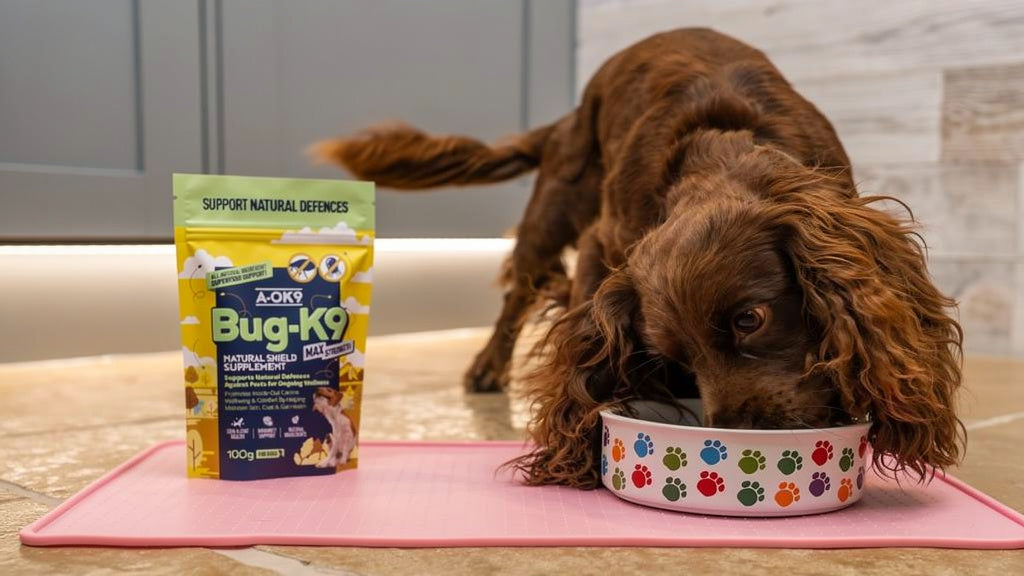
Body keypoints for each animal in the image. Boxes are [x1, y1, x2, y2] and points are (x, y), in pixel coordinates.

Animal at [312, 28, 965, 488]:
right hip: (554, 210)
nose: (738, 440)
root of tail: (567, 117)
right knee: (519, 290)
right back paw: (487, 367)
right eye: (674, 355)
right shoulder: (602, 245)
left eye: (749, 319)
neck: (724, 147)